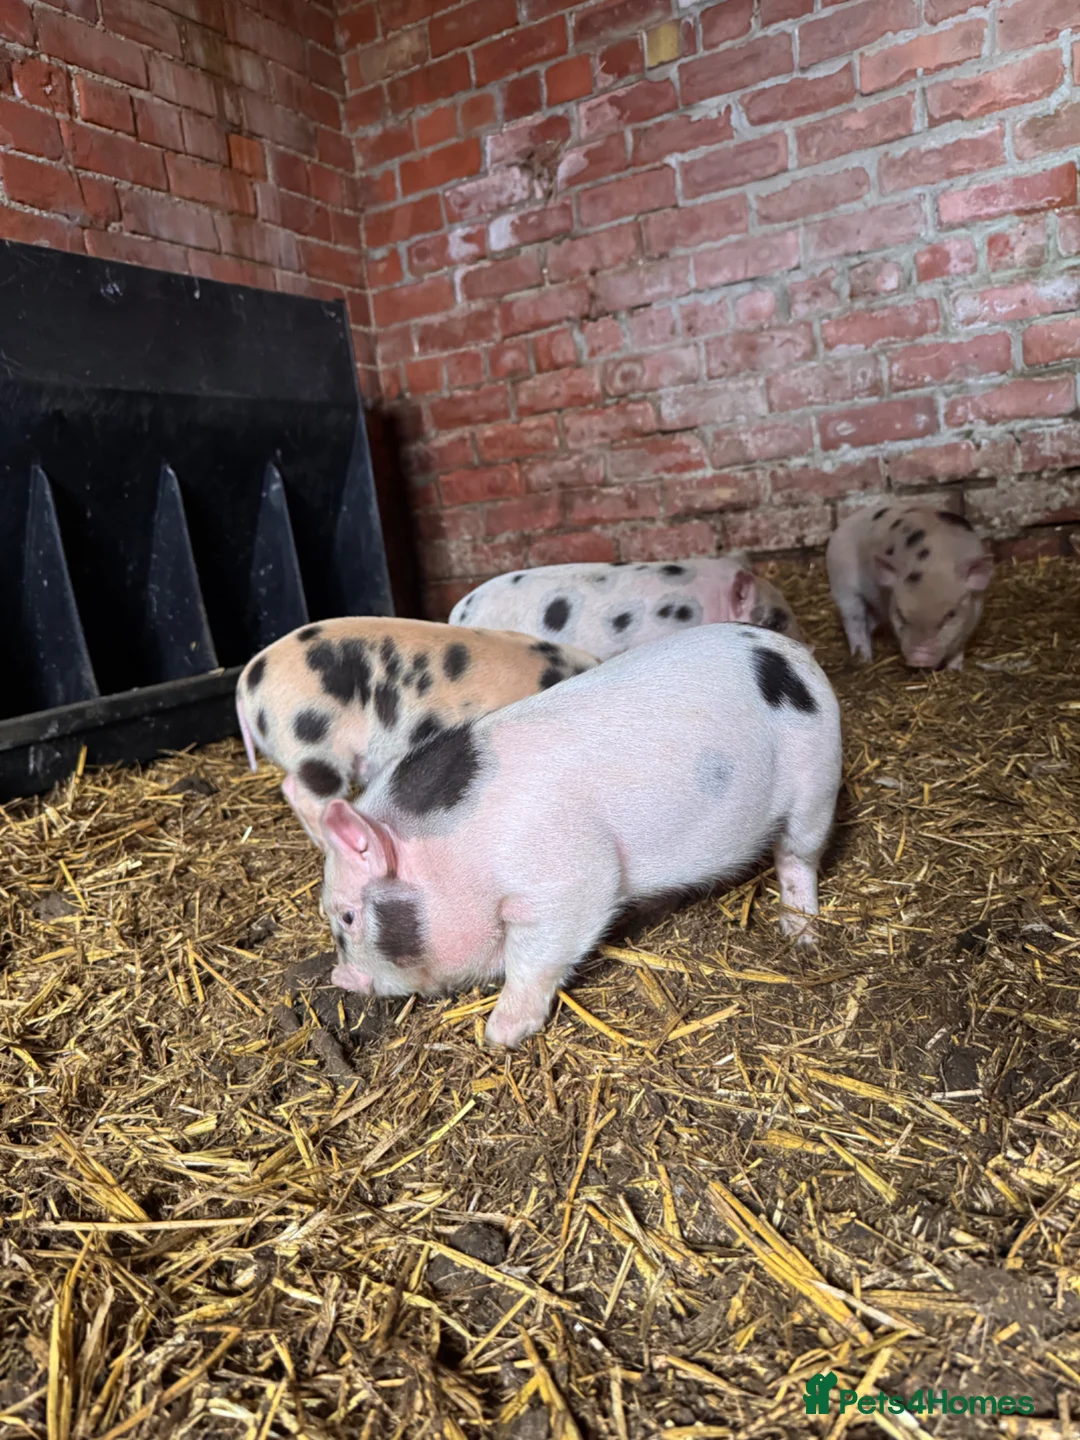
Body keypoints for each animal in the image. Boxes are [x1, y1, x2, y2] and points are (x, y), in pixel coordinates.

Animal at [318, 624, 842, 1049]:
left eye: (347, 916)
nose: (341, 976)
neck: (456, 855)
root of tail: (793, 653)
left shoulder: (566, 879)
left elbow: (536, 956)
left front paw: (498, 1035)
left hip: (817, 785)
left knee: (798, 857)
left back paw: (800, 936)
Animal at [826, 504, 994, 670]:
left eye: (950, 615)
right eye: (900, 614)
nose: (919, 658)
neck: (935, 561)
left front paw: (954, 669)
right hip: (841, 581)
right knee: (853, 621)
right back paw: (864, 659)